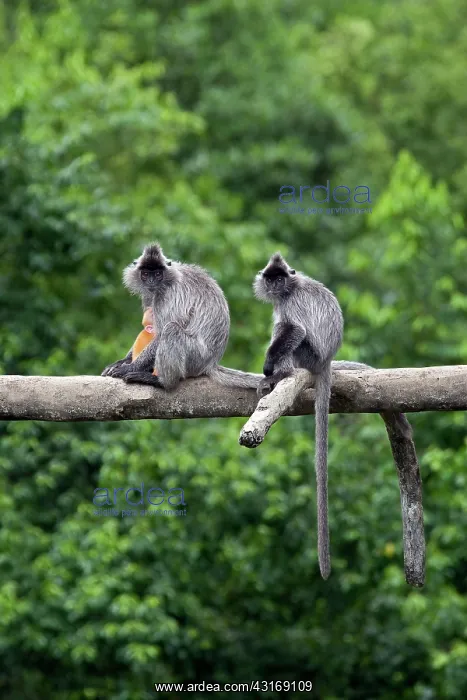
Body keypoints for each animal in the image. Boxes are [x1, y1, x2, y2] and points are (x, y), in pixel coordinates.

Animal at [102, 242, 264, 390]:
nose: (152, 282)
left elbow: (160, 334)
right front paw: (122, 361)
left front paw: (129, 367)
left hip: (196, 357)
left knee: (171, 329)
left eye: (158, 274)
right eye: (146, 274)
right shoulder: (150, 296)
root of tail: (211, 363)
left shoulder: (168, 294)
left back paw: (161, 382)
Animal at [254, 252, 344, 580]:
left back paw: (278, 375)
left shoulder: (289, 304)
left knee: (289, 332)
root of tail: (326, 360)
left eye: (280, 278)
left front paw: (269, 368)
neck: (289, 289)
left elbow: (296, 330)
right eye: (271, 278)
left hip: (308, 355)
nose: (274, 285)